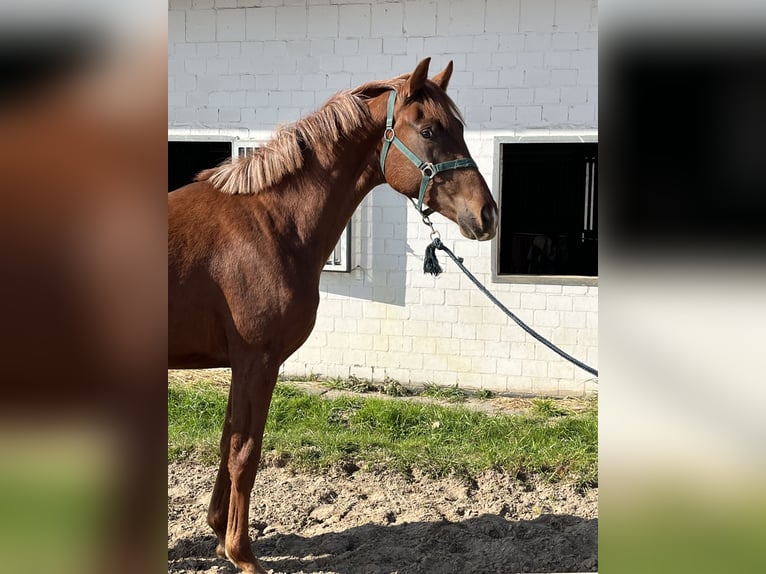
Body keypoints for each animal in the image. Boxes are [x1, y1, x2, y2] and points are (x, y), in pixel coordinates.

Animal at [170, 59, 498, 574]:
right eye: (429, 130)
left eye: (461, 129)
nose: (487, 214)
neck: (268, 222)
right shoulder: (258, 362)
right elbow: (245, 453)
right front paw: (243, 554)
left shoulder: (241, 365)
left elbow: (227, 444)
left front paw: (220, 536)